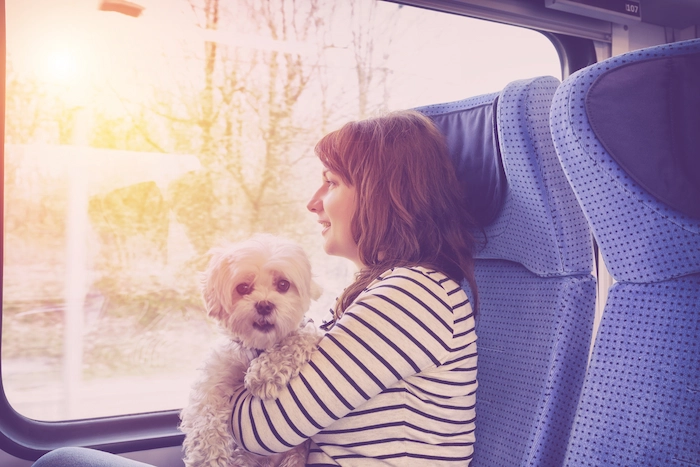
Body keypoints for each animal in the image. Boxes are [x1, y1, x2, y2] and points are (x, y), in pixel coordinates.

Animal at [180, 236, 322, 467]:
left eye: (283, 284)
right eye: (243, 287)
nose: (264, 305)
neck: (259, 346)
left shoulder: (308, 333)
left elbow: (295, 339)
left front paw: (264, 374)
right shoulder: (213, 379)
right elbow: (205, 419)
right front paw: (209, 458)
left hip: (295, 456)